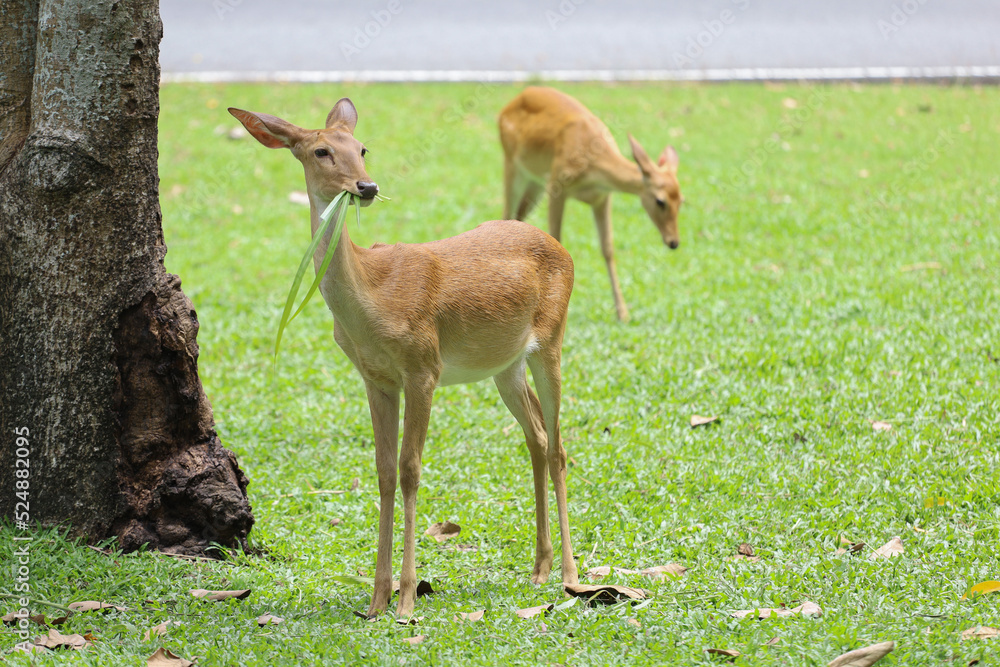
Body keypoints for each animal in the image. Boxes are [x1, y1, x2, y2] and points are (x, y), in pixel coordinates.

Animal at [228, 99, 578, 619]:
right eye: (321, 150)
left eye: (362, 148)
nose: (367, 187)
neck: (372, 301)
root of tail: (564, 249)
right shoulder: (376, 378)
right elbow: (385, 471)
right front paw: (376, 598)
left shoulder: (423, 366)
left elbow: (411, 469)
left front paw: (408, 598)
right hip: (505, 364)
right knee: (535, 435)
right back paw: (540, 568)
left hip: (551, 338)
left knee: (557, 445)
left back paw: (572, 576)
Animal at [499, 86, 682, 322]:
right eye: (660, 201)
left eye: (682, 200)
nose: (673, 242)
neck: (594, 167)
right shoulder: (557, 184)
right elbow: (557, 239)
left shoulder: (602, 198)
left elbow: (608, 248)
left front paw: (623, 314)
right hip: (512, 166)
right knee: (506, 213)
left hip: (534, 183)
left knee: (517, 217)